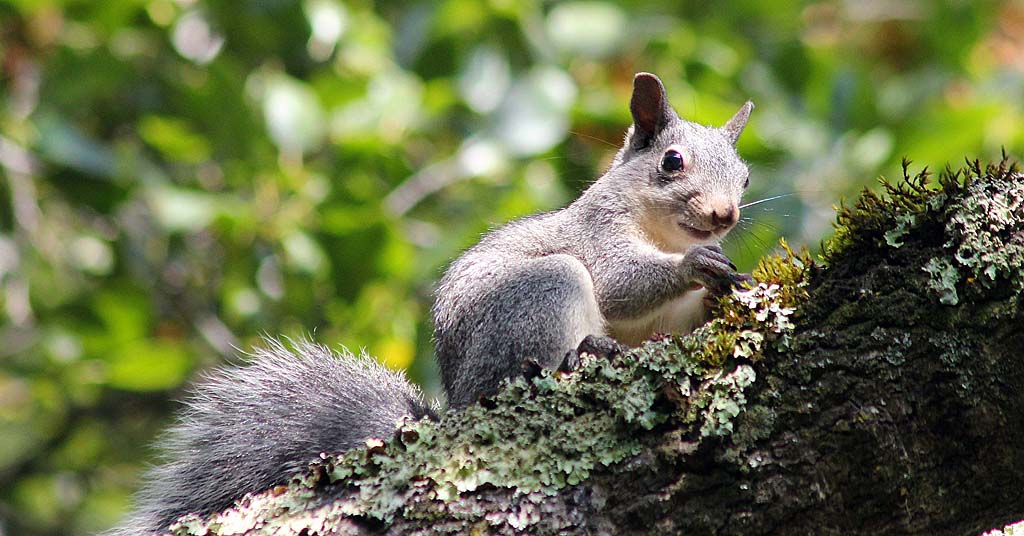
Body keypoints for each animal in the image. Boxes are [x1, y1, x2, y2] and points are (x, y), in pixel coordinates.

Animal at [112, 72, 753, 536]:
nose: (725, 215)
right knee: (524, 363)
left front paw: (723, 282)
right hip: (538, 297)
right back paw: (579, 354)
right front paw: (696, 268)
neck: (665, 232)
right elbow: (622, 280)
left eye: (745, 178)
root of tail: (455, 402)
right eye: (671, 161)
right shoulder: (597, 234)